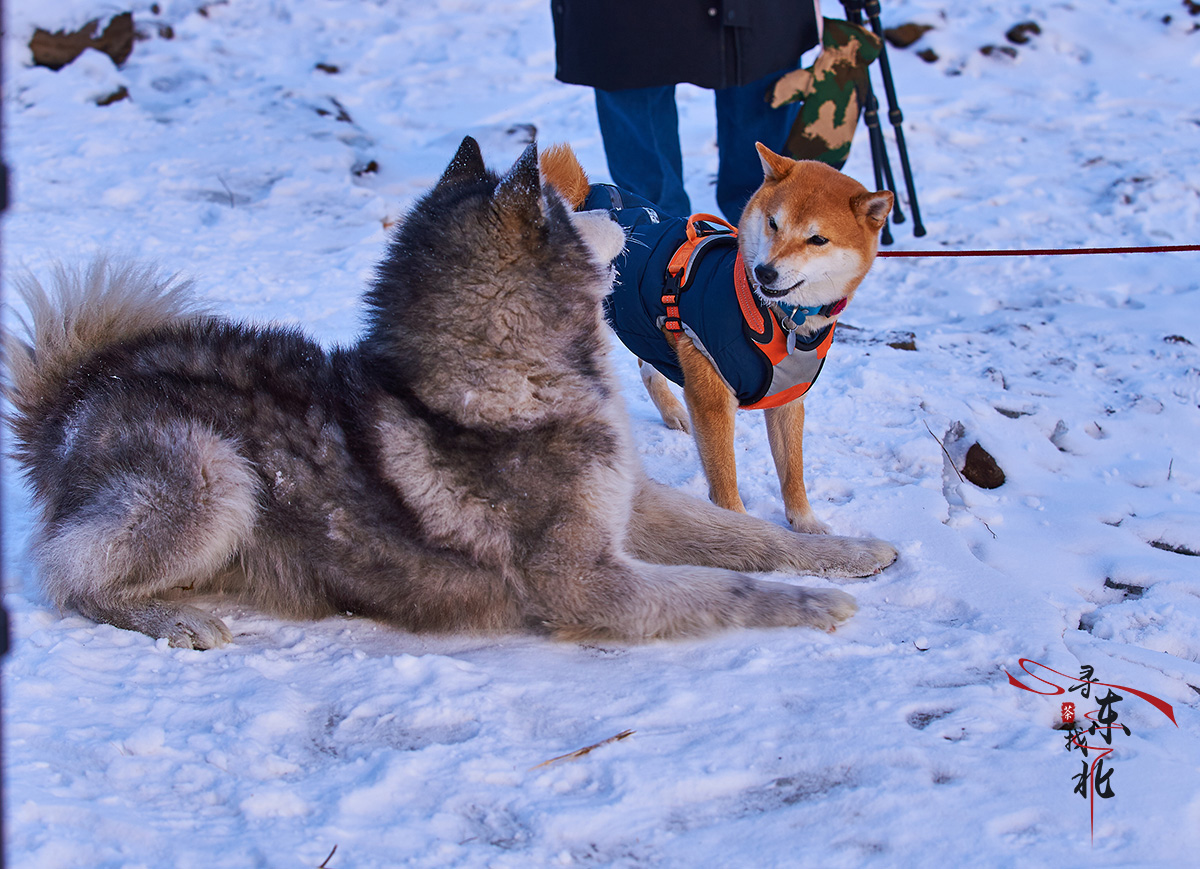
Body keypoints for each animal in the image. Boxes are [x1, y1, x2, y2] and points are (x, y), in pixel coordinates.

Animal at [4, 139, 897, 648]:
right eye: (573, 209)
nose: (639, 214)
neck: (508, 380)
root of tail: (79, 391)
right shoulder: (587, 579)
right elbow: (725, 584)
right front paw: (811, 604)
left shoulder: (632, 500)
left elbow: (749, 535)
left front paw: (847, 550)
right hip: (214, 477)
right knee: (68, 573)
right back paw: (171, 616)